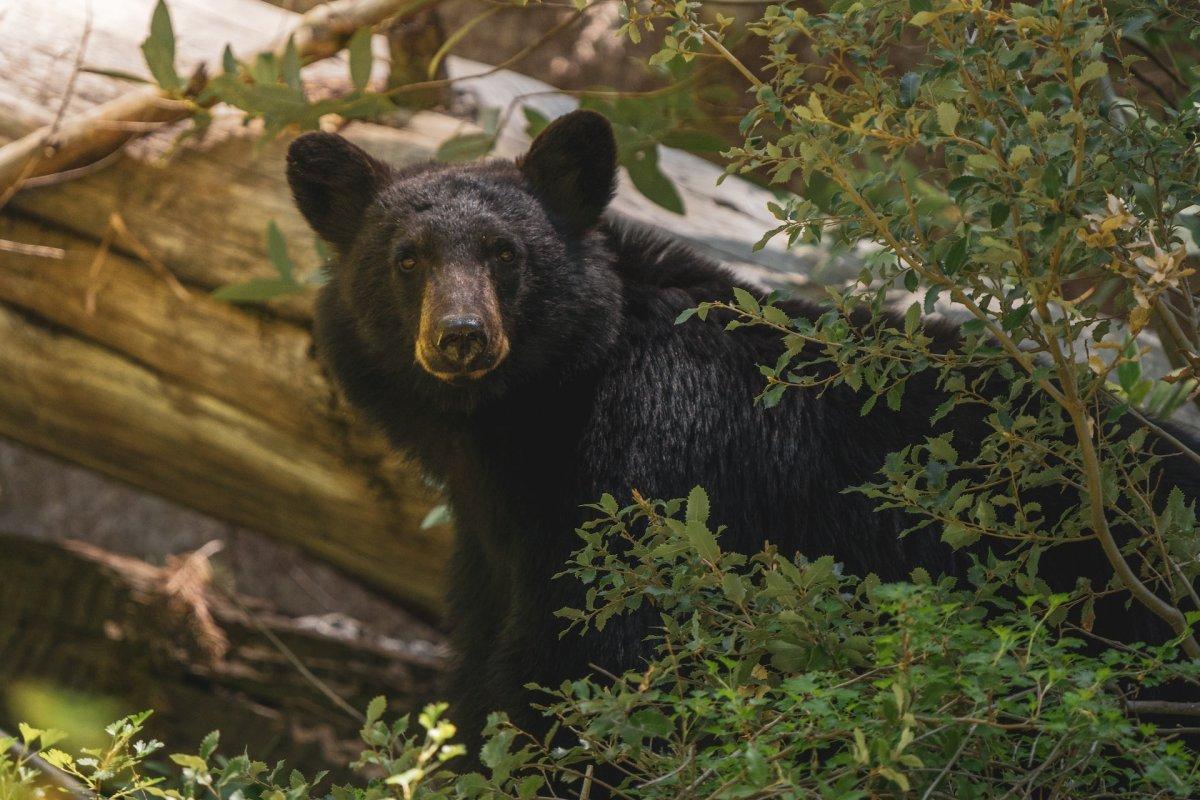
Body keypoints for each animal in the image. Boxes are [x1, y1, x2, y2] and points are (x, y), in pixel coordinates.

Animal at [285, 110, 1200, 758]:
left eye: (505, 252)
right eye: (406, 259)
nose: (462, 337)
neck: (522, 427)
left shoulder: (653, 480)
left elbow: (599, 669)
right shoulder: (492, 547)